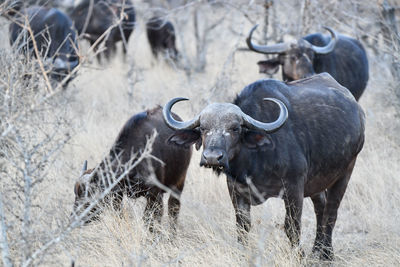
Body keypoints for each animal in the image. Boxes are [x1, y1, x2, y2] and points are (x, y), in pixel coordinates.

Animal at [162, 73, 366, 260]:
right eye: (203, 128)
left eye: (235, 128)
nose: (212, 157)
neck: (253, 162)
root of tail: (357, 110)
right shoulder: (236, 190)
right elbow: (242, 226)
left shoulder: (294, 187)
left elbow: (292, 226)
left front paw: (298, 255)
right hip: (317, 181)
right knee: (321, 207)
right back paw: (317, 249)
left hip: (346, 172)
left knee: (331, 212)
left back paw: (326, 253)